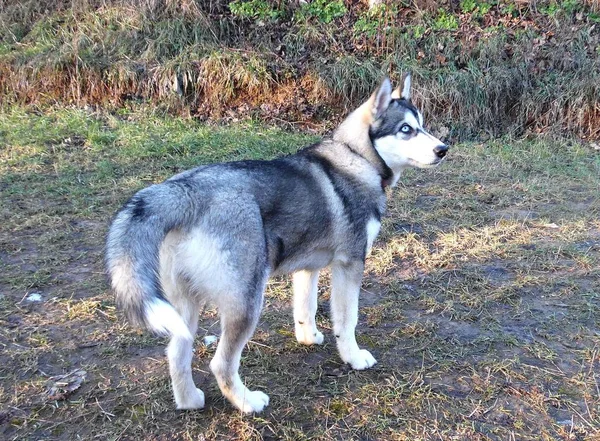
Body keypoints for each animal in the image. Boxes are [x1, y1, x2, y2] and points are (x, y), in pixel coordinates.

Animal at [106, 75, 446, 412]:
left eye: (422, 124)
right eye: (406, 129)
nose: (443, 149)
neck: (356, 156)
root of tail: (183, 191)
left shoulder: (307, 268)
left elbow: (305, 307)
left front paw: (308, 337)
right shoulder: (350, 264)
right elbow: (347, 319)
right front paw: (353, 357)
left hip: (184, 308)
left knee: (176, 354)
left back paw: (190, 401)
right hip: (246, 303)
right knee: (221, 364)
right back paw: (248, 402)